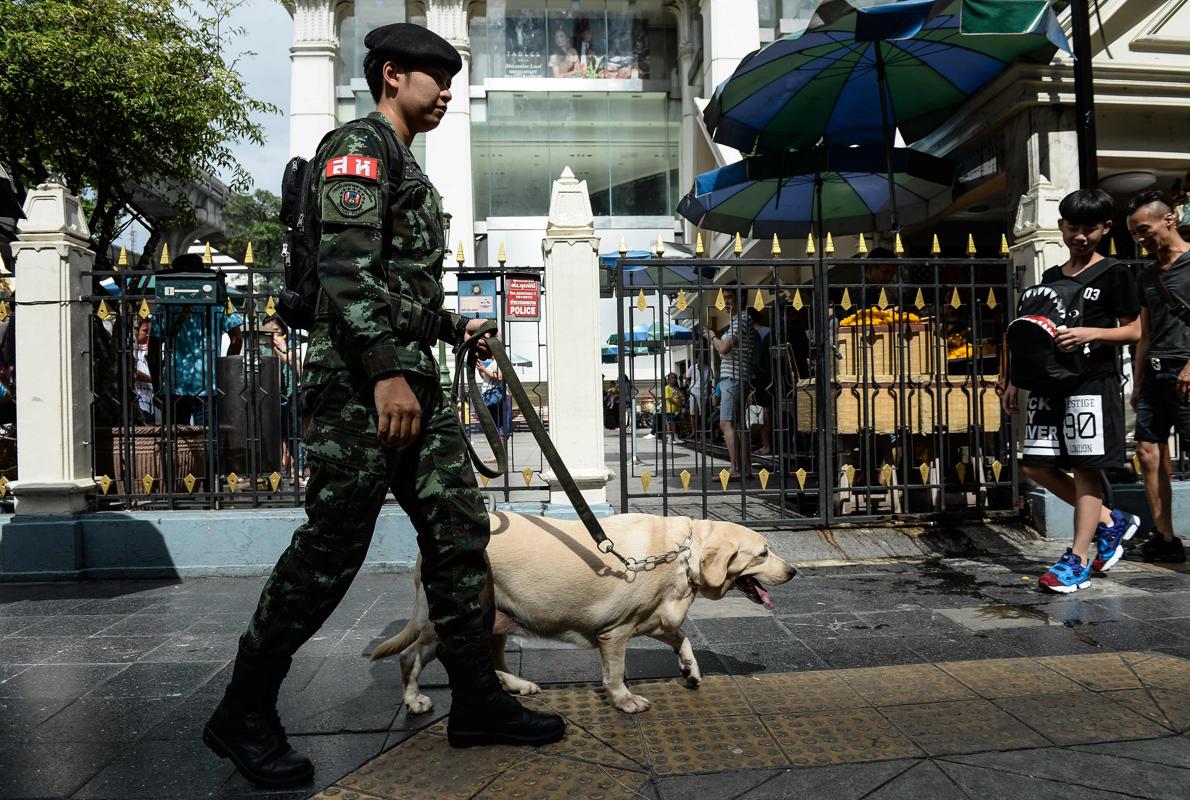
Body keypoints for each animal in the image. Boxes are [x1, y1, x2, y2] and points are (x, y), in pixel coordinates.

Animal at [368, 511, 799, 714]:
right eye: (764, 553)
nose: (794, 571)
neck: (680, 552)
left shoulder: (656, 619)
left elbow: (682, 638)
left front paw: (691, 670)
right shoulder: (616, 632)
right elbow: (615, 674)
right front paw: (625, 701)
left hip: (495, 618)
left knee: (490, 657)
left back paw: (517, 685)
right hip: (448, 620)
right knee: (410, 657)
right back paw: (414, 700)